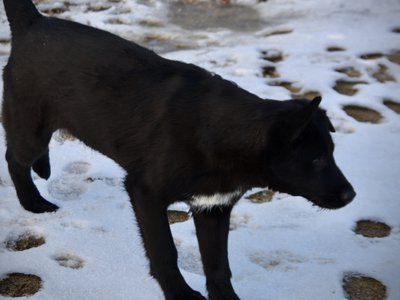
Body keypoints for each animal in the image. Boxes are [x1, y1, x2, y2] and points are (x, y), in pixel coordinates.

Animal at [2, 1, 354, 298]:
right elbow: (165, 251)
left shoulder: (213, 207)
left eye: (332, 154)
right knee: (15, 158)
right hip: (31, 125)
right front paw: (180, 294)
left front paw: (225, 298)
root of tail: (34, 22)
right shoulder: (145, 192)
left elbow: (218, 263)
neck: (222, 135)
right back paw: (33, 202)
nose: (351, 196)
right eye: (317, 159)